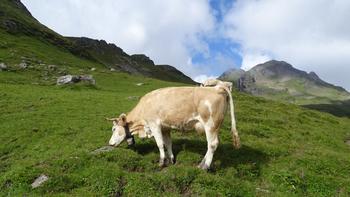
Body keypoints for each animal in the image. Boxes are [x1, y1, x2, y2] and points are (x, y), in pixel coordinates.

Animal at [106, 83, 241, 169]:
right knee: (211, 145)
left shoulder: (154, 124)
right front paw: (171, 159)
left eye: (114, 129)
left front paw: (161, 162)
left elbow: (160, 144)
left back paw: (205, 166)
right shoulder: (165, 127)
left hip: (210, 124)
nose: (110, 143)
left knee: (212, 144)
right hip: (215, 126)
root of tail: (217, 87)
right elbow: (168, 143)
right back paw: (201, 163)